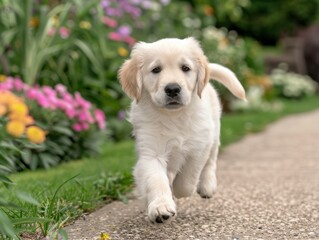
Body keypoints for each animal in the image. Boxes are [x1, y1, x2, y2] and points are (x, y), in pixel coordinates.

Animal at [119, 37, 246, 223]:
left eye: (185, 68)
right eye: (156, 69)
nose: (172, 89)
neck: (174, 117)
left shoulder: (199, 147)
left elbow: (187, 179)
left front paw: (178, 191)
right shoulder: (151, 152)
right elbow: (156, 179)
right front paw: (161, 206)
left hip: (214, 134)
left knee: (211, 162)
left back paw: (207, 185)